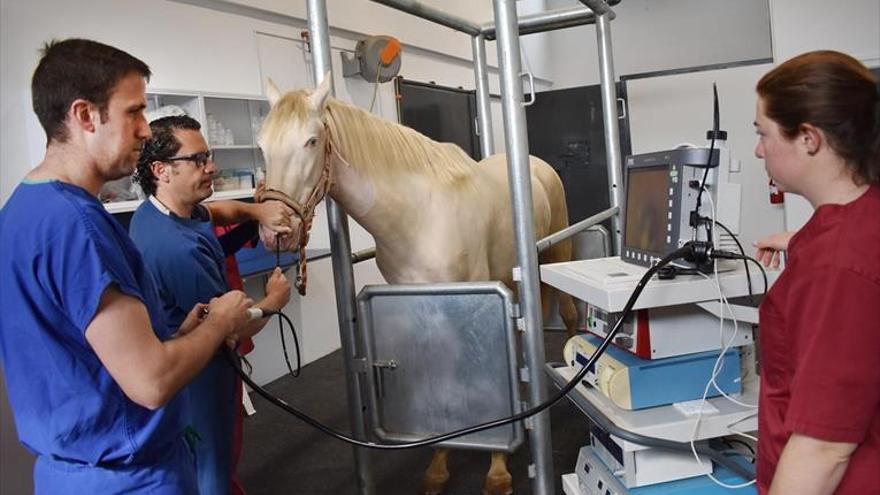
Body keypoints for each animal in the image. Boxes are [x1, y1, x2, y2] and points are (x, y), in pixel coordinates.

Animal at [258, 74, 580, 495]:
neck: (419, 216)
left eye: (311, 141)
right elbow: (437, 374)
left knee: (569, 313)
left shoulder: (479, 296)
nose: (273, 230)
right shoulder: (419, 301)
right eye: (261, 145)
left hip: (557, 252)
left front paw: (497, 472)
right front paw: (438, 465)